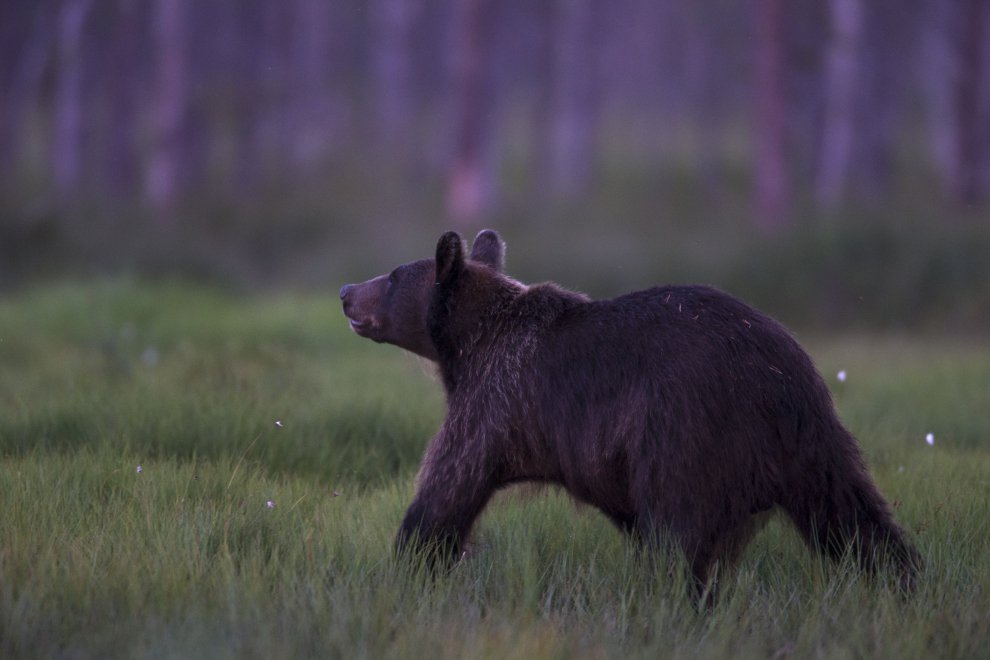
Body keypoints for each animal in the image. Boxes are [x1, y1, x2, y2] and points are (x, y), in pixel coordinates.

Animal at [340, 229, 924, 596]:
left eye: (392, 276)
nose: (346, 290)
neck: (467, 345)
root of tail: (773, 374)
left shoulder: (496, 398)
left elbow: (449, 482)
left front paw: (411, 557)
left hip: (684, 428)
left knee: (676, 532)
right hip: (813, 439)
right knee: (853, 516)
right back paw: (903, 580)